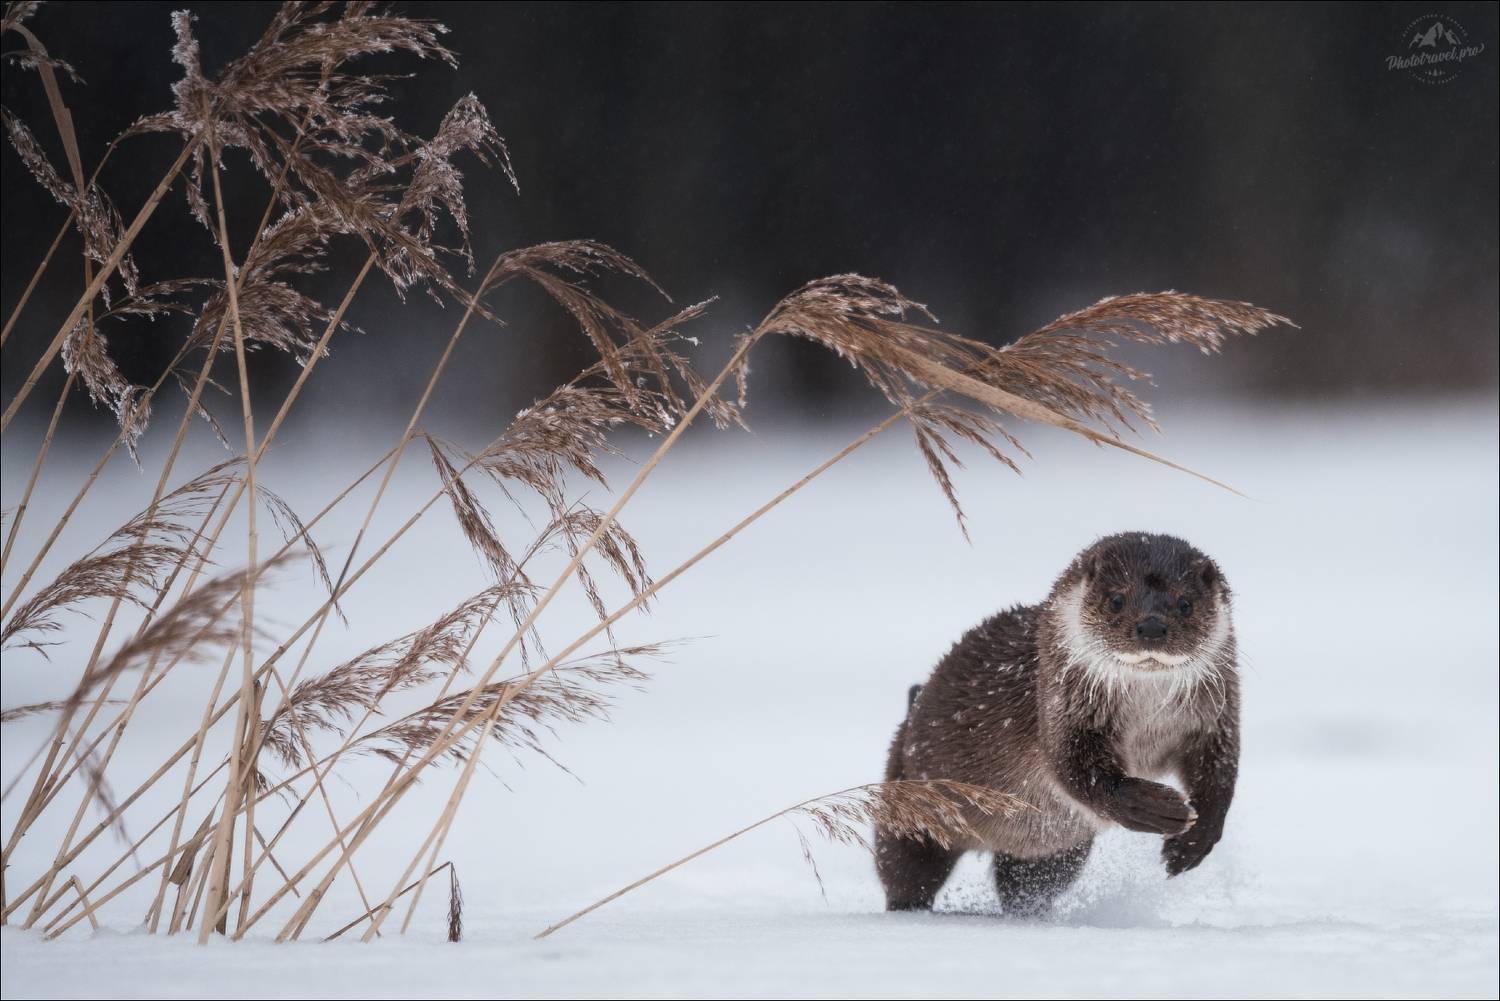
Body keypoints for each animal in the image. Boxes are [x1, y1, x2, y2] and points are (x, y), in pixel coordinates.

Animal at [875, 532, 1239, 914]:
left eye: (1185, 604)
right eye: (1117, 600)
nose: (1152, 626)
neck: (1146, 721)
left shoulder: (1215, 719)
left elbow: (1219, 774)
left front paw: (1194, 841)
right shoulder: (1060, 710)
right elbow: (1077, 770)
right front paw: (1154, 807)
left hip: (1054, 852)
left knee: (1026, 882)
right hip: (910, 799)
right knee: (906, 866)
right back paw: (908, 909)